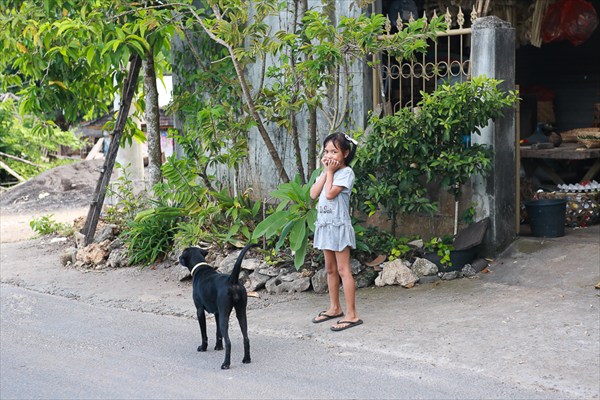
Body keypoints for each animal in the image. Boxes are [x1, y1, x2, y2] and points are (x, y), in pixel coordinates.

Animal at [178, 242, 253, 370]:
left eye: (183, 252)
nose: (178, 257)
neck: (200, 268)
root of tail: (232, 280)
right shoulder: (217, 313)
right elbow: (218, 333)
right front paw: (218, 347)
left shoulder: (199, 311)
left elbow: (204, 333)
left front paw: (203, 348)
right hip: (241, 313)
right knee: (246, 338)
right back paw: (246, 359)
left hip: (225, 316)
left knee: (229, 342)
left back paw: (226, 364)